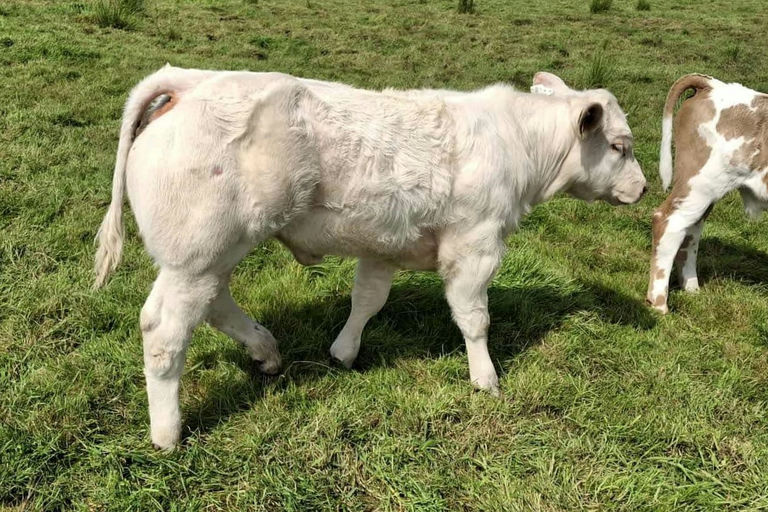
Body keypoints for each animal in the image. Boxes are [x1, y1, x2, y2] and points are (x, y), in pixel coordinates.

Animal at [94, 66, 646, 449]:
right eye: (620, 146)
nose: (642, 188)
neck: (515, 143)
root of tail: (190, 80)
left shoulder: (384, 246)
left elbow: (367, 301)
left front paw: (344, 352)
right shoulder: (475, 245)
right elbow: (474, 319)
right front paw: (485, 379)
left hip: (212, 255)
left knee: (215, 306)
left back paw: (266, 350)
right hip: (196, 256)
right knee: (164, 330)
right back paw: (167, 432)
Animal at [647, 74, 768, 314]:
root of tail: (713, 84)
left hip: (705, 192)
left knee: (691, 232)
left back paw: (691, 288)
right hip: (700, 183)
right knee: (668, 223)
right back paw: (658, 304)